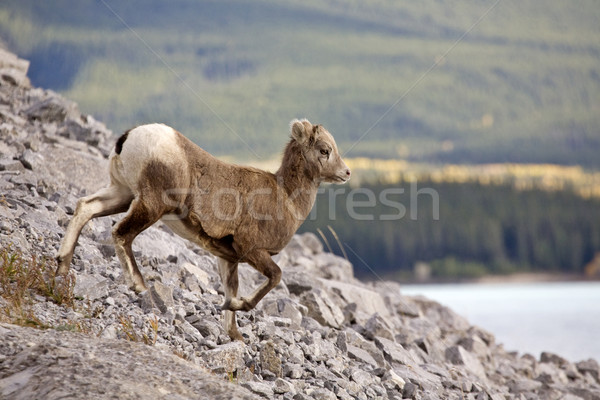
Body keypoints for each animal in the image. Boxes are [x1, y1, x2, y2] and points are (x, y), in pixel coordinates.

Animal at [56, 119, 352, 340]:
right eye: (324, 150)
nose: (347, 173)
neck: (286, 197)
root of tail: (129, 138)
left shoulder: (228, 258)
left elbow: (231, 289)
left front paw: (235, 335)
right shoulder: (252, 251)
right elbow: (274, 278)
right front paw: (238, 306)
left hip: (122, 193)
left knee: (85, 207)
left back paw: (62, 266)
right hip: (151, 205)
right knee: (121, 233)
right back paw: (139, 285)